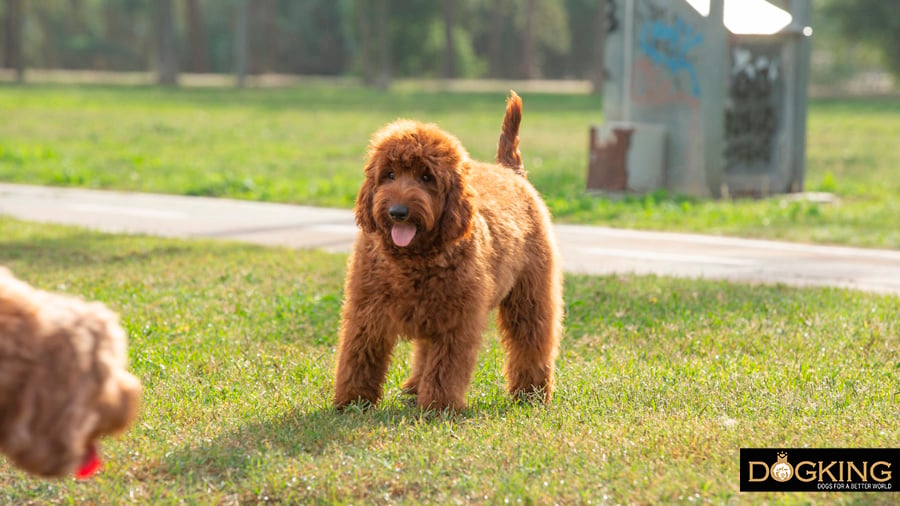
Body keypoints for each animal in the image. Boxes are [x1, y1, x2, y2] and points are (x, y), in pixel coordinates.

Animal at [334, 92, 564, 412]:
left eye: (427, 177)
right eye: (389, 175)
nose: (398, 212)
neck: (412, 261)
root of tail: (510, 171)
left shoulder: (456, 321)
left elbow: (445, 366)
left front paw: (438, 406)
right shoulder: (366, 313)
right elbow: (358, 357)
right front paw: (352, 402)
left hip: (530, 296)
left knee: (531, 341)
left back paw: (531, 393)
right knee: (423, 349)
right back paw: (415, 387)